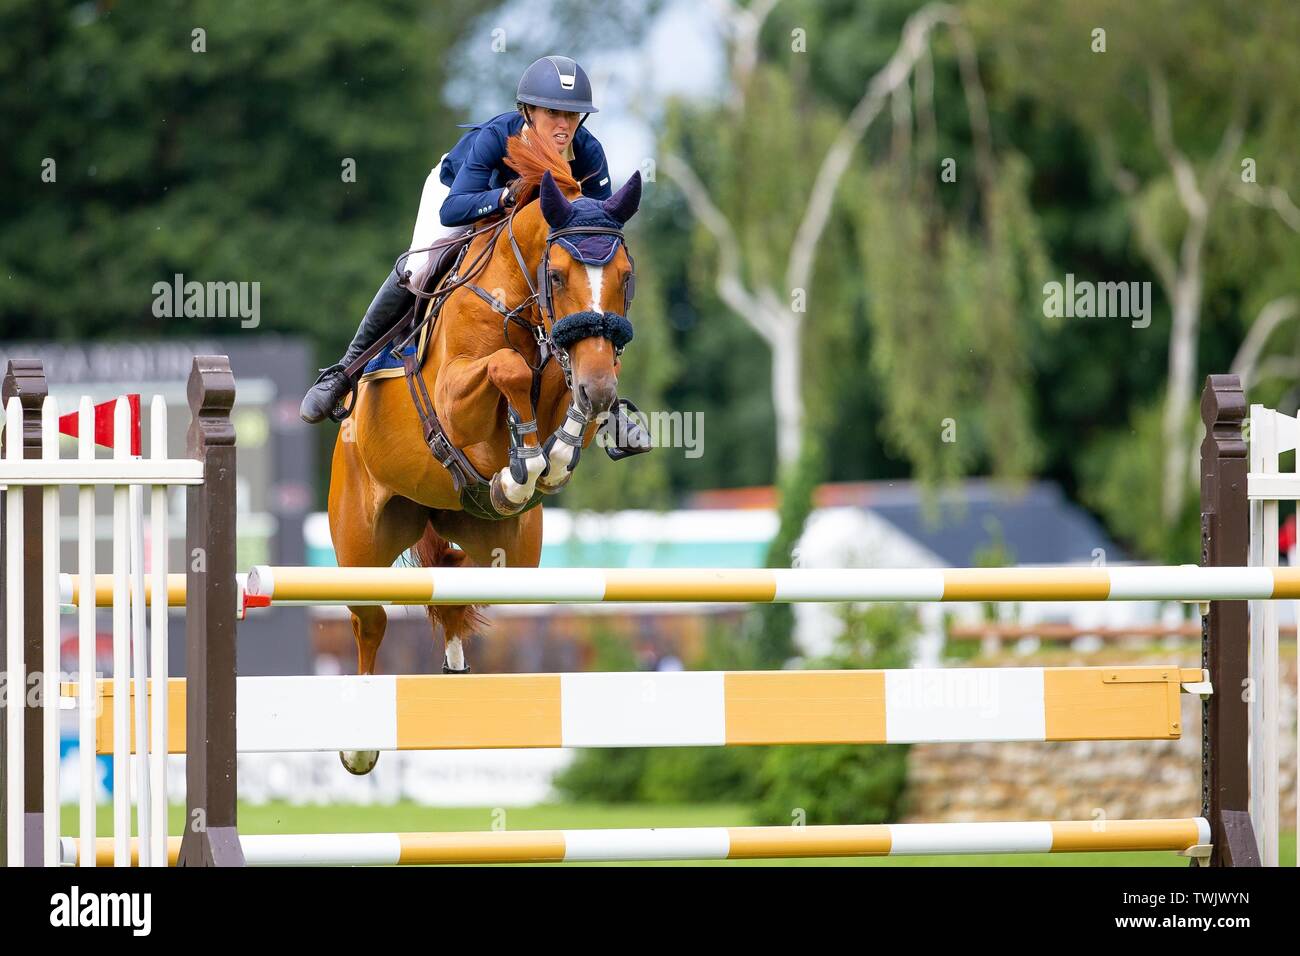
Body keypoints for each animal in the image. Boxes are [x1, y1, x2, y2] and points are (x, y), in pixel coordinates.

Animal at [325, 132, 639, 780]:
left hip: (507, 553)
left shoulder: (573, 370)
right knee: (370, 620)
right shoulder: (453, 398)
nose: (599, 387)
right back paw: (360, 746)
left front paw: (549, 456)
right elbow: (509, 368)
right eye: (559, 274)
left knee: (455, 580)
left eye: (626, 277)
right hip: (360, 543)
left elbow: (555, 391)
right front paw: (526, 462)